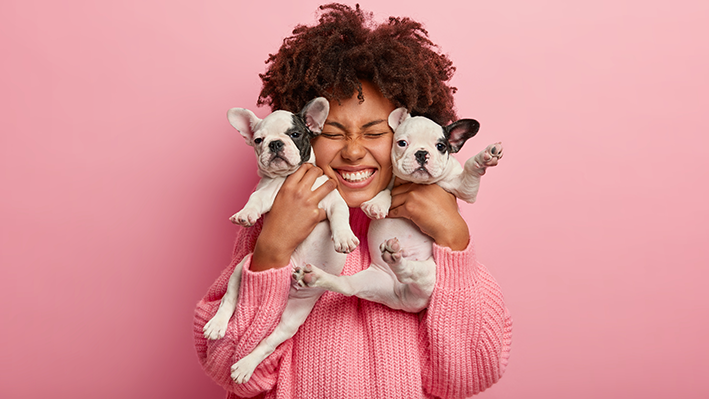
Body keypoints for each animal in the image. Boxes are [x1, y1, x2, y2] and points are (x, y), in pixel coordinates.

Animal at [203, 97, 360, 384]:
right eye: (258, 140)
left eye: (295, 134)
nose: (275, 144)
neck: (286, 177)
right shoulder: (266, 193)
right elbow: (255, 200)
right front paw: (245, 214)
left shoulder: (333, 199)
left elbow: (341, 215)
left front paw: (344, 238)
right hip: (244, 266)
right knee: (230, 298)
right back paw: (217, 327)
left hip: (292, 320)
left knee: (268, 342)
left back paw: (245, 365)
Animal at [294, 108, 504, 312]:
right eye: (402, 143)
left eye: (441, 146)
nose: (421, 153)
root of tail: (405, 300)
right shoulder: (391, 179)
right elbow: (387, 191)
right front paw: (377, 204)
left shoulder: (463, 188)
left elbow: (469, 171)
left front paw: (485, 157)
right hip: (371, 282)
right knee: (348, 285)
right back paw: (318, 277)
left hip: (432, 273)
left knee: (413, 272)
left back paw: (395, 257)